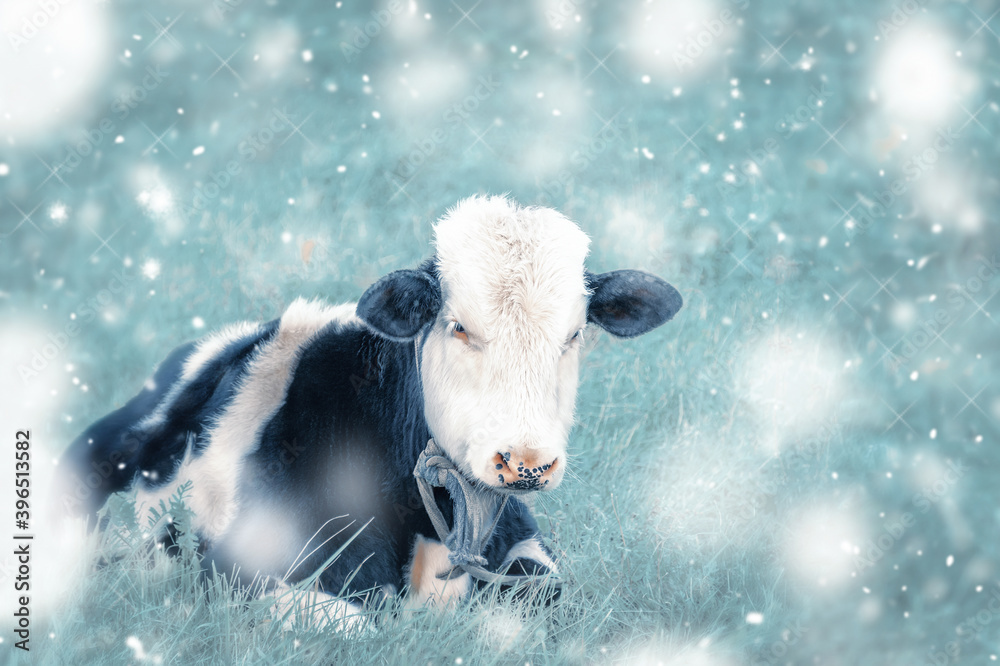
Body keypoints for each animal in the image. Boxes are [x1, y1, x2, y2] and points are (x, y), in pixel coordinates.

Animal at [58, 195, 682, 627]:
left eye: (574, 334)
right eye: (458, 327)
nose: (525, 463)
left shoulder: (523, 544)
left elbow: (547, 595)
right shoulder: (242, 568)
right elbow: (359, 622)